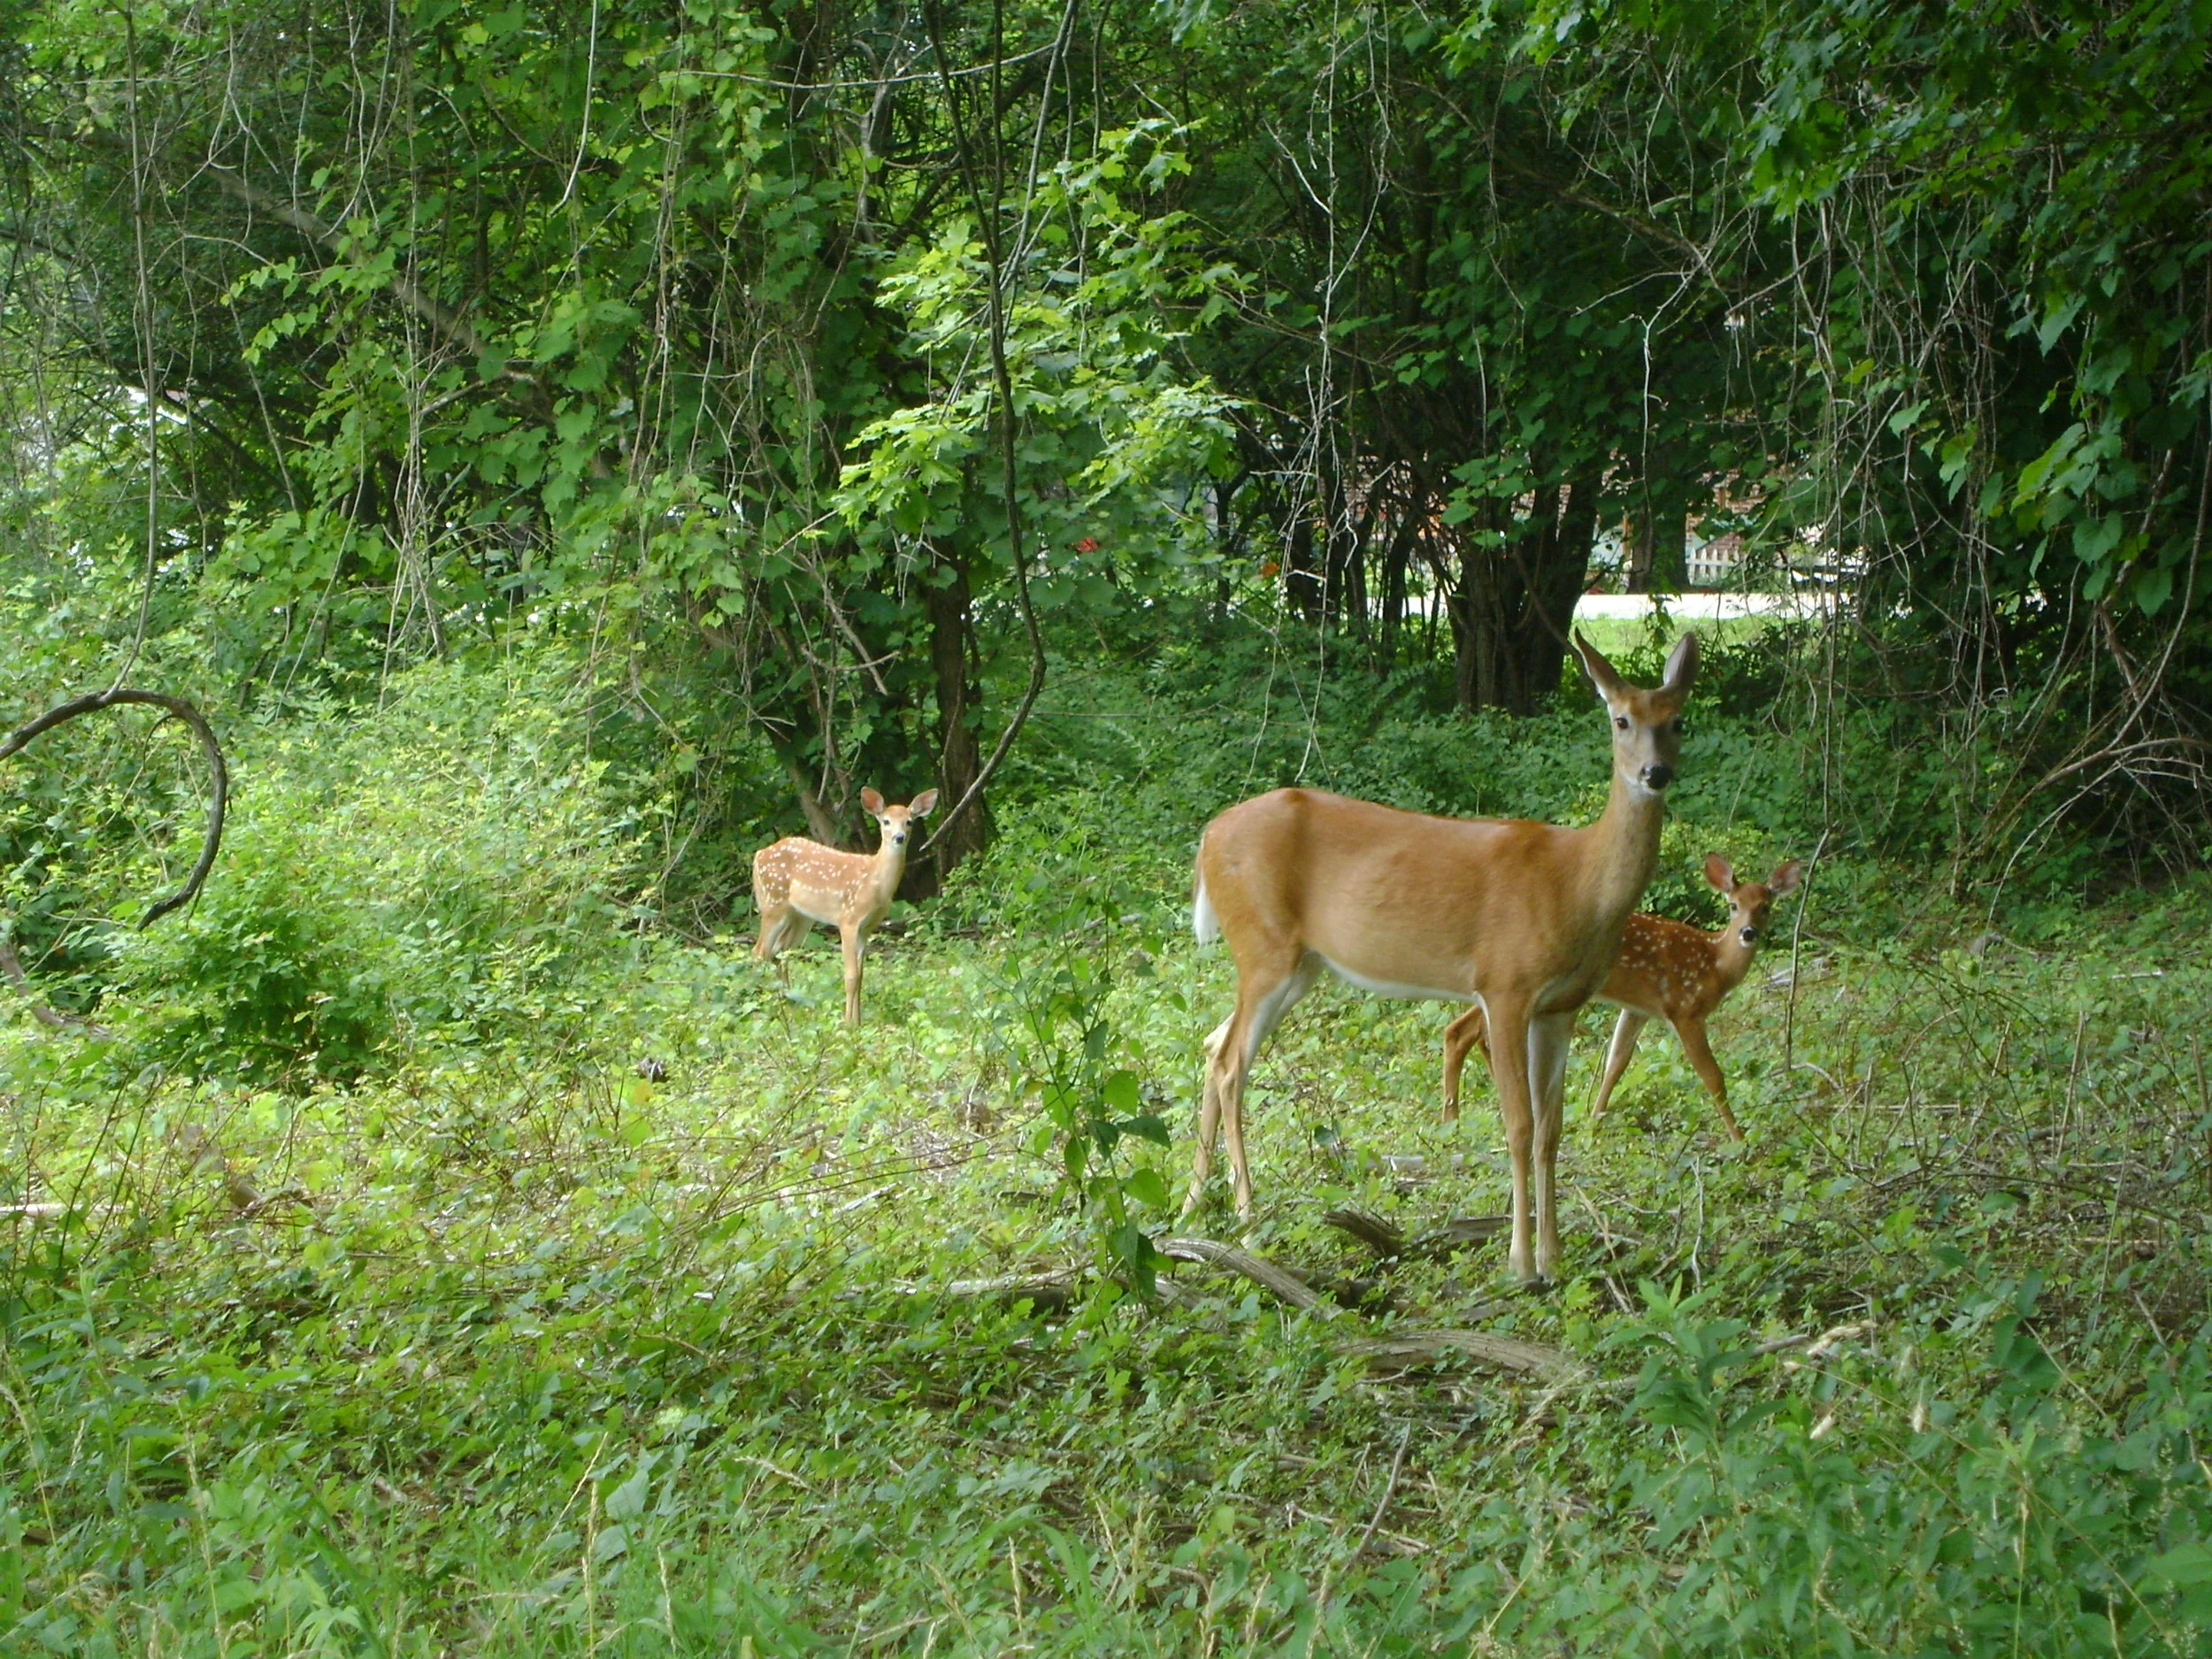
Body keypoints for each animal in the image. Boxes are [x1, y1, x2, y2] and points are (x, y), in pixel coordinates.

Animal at [751, 787, 937, 1026]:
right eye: (886, 821)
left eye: (909, 821)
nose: (899, 837)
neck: (875, 884)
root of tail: (758, 855)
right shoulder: (848, 919)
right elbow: (850, 976)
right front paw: (848, 1024)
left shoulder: (867, 927)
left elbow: (861, 976)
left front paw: (857, 1021)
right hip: (774, 903)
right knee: (759, 952)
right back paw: (764, 1007)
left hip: (801, 916)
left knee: (779, 951)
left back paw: (789, 1005)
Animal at [1185, 632, 1698, 1287]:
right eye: (1621, 719)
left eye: (1677, 719)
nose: (1655, 773)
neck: (1576, 884)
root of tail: (1208, 836)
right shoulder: (1506, 984)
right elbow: (1518, 1124)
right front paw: (1520, 1263)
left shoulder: (1561, 1006)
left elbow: (1551, 1130)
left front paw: (1555, 1257)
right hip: (1264, 946)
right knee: (1230, 1064)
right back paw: (1250, 1223)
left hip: (1300, 965)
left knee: (1212, 1043)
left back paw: (1193, 1207)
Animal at [1439, 854, 1802, 1141]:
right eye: (1733, 905)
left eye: (1765, 906)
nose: (1748, 933)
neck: (1714, 964)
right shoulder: (1684, 1009)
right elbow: (1713, 1077)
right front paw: (1740, 1139)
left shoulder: (1639, 1008)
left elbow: (1617, 1062)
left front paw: (1593, 1122)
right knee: (1461, 1032)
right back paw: (1453, 1120)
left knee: (1466, 1031)